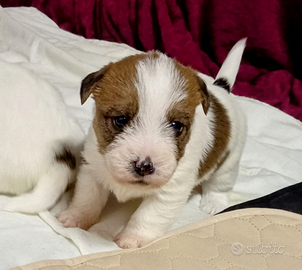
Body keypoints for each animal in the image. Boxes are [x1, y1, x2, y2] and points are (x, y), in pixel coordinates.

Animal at [57, 38, 247, 249]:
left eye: (176, 126)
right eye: (121, 120)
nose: (144, 166)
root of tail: (222, 88)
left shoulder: (170, 191)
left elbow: (147, 215)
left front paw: (133, 238)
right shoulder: (92, 168)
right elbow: (87, 199)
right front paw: (75, 218)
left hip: (229, 161)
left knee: (220, 184)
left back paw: (214, 203)